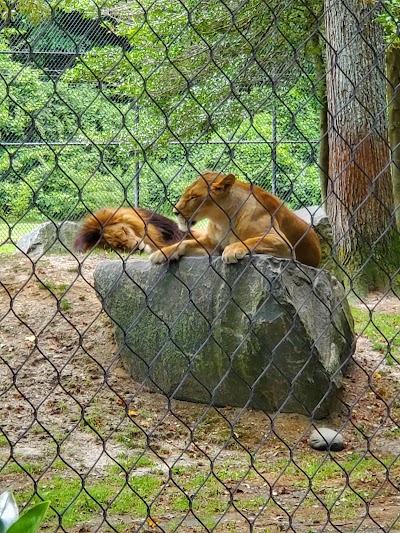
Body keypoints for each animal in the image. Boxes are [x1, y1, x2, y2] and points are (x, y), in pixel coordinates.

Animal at [150, 170, 322, 266]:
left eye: (193, 197)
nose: (174, 212)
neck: (221, 220)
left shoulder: (282, 242)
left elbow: (251, 241)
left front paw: (232, 249)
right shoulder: (212, 245)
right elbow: (185, 242)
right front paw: (162, 253)